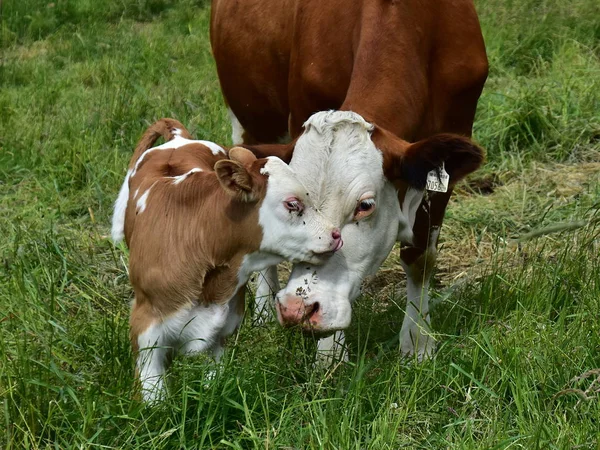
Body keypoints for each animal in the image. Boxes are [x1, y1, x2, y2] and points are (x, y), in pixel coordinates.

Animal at [109, 118, 342, 400]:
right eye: (292, 204)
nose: (336, 234)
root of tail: (178, 139)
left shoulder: (223, 331)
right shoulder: (146, 331)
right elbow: (154, 397)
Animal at [211, 0, 488, 360]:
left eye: (365, 205)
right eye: (294, 203)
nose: (297, 309)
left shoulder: (447, 150)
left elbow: (420, 258)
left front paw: (418, 342)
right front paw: (330, 354)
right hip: (248, 122)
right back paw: (261, 309)